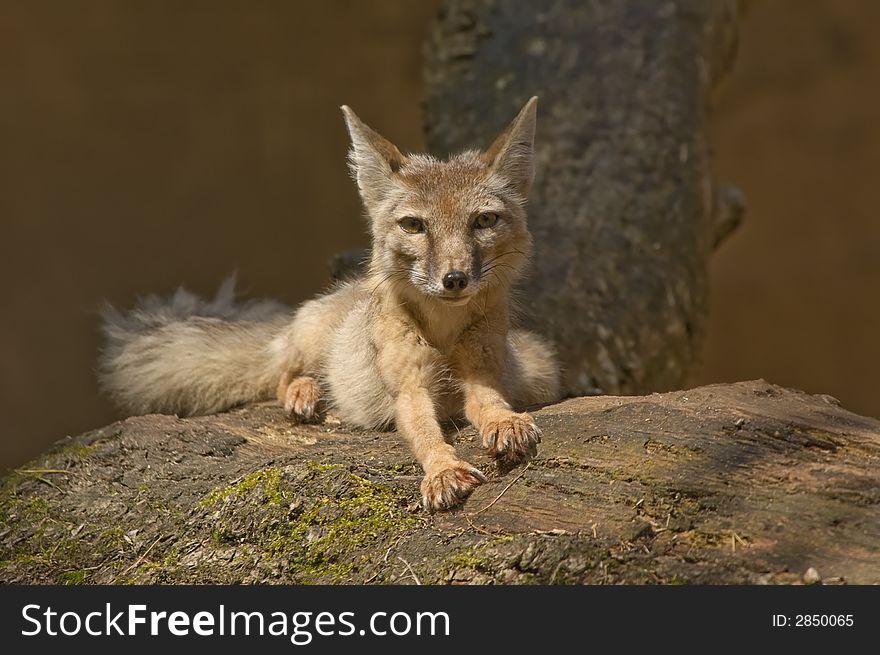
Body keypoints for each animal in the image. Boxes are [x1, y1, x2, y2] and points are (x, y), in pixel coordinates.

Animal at [99, 97, 560, 510]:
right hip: (308, 341)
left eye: (483, 220)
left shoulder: (484, 372)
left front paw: (504, 423)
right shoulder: (409, 389)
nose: (454, 279)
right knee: (281, 374)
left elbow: (491, 404)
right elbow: (425, 433)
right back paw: (304, 390)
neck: (444, 333)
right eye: (414, 225)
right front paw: (442, 470)